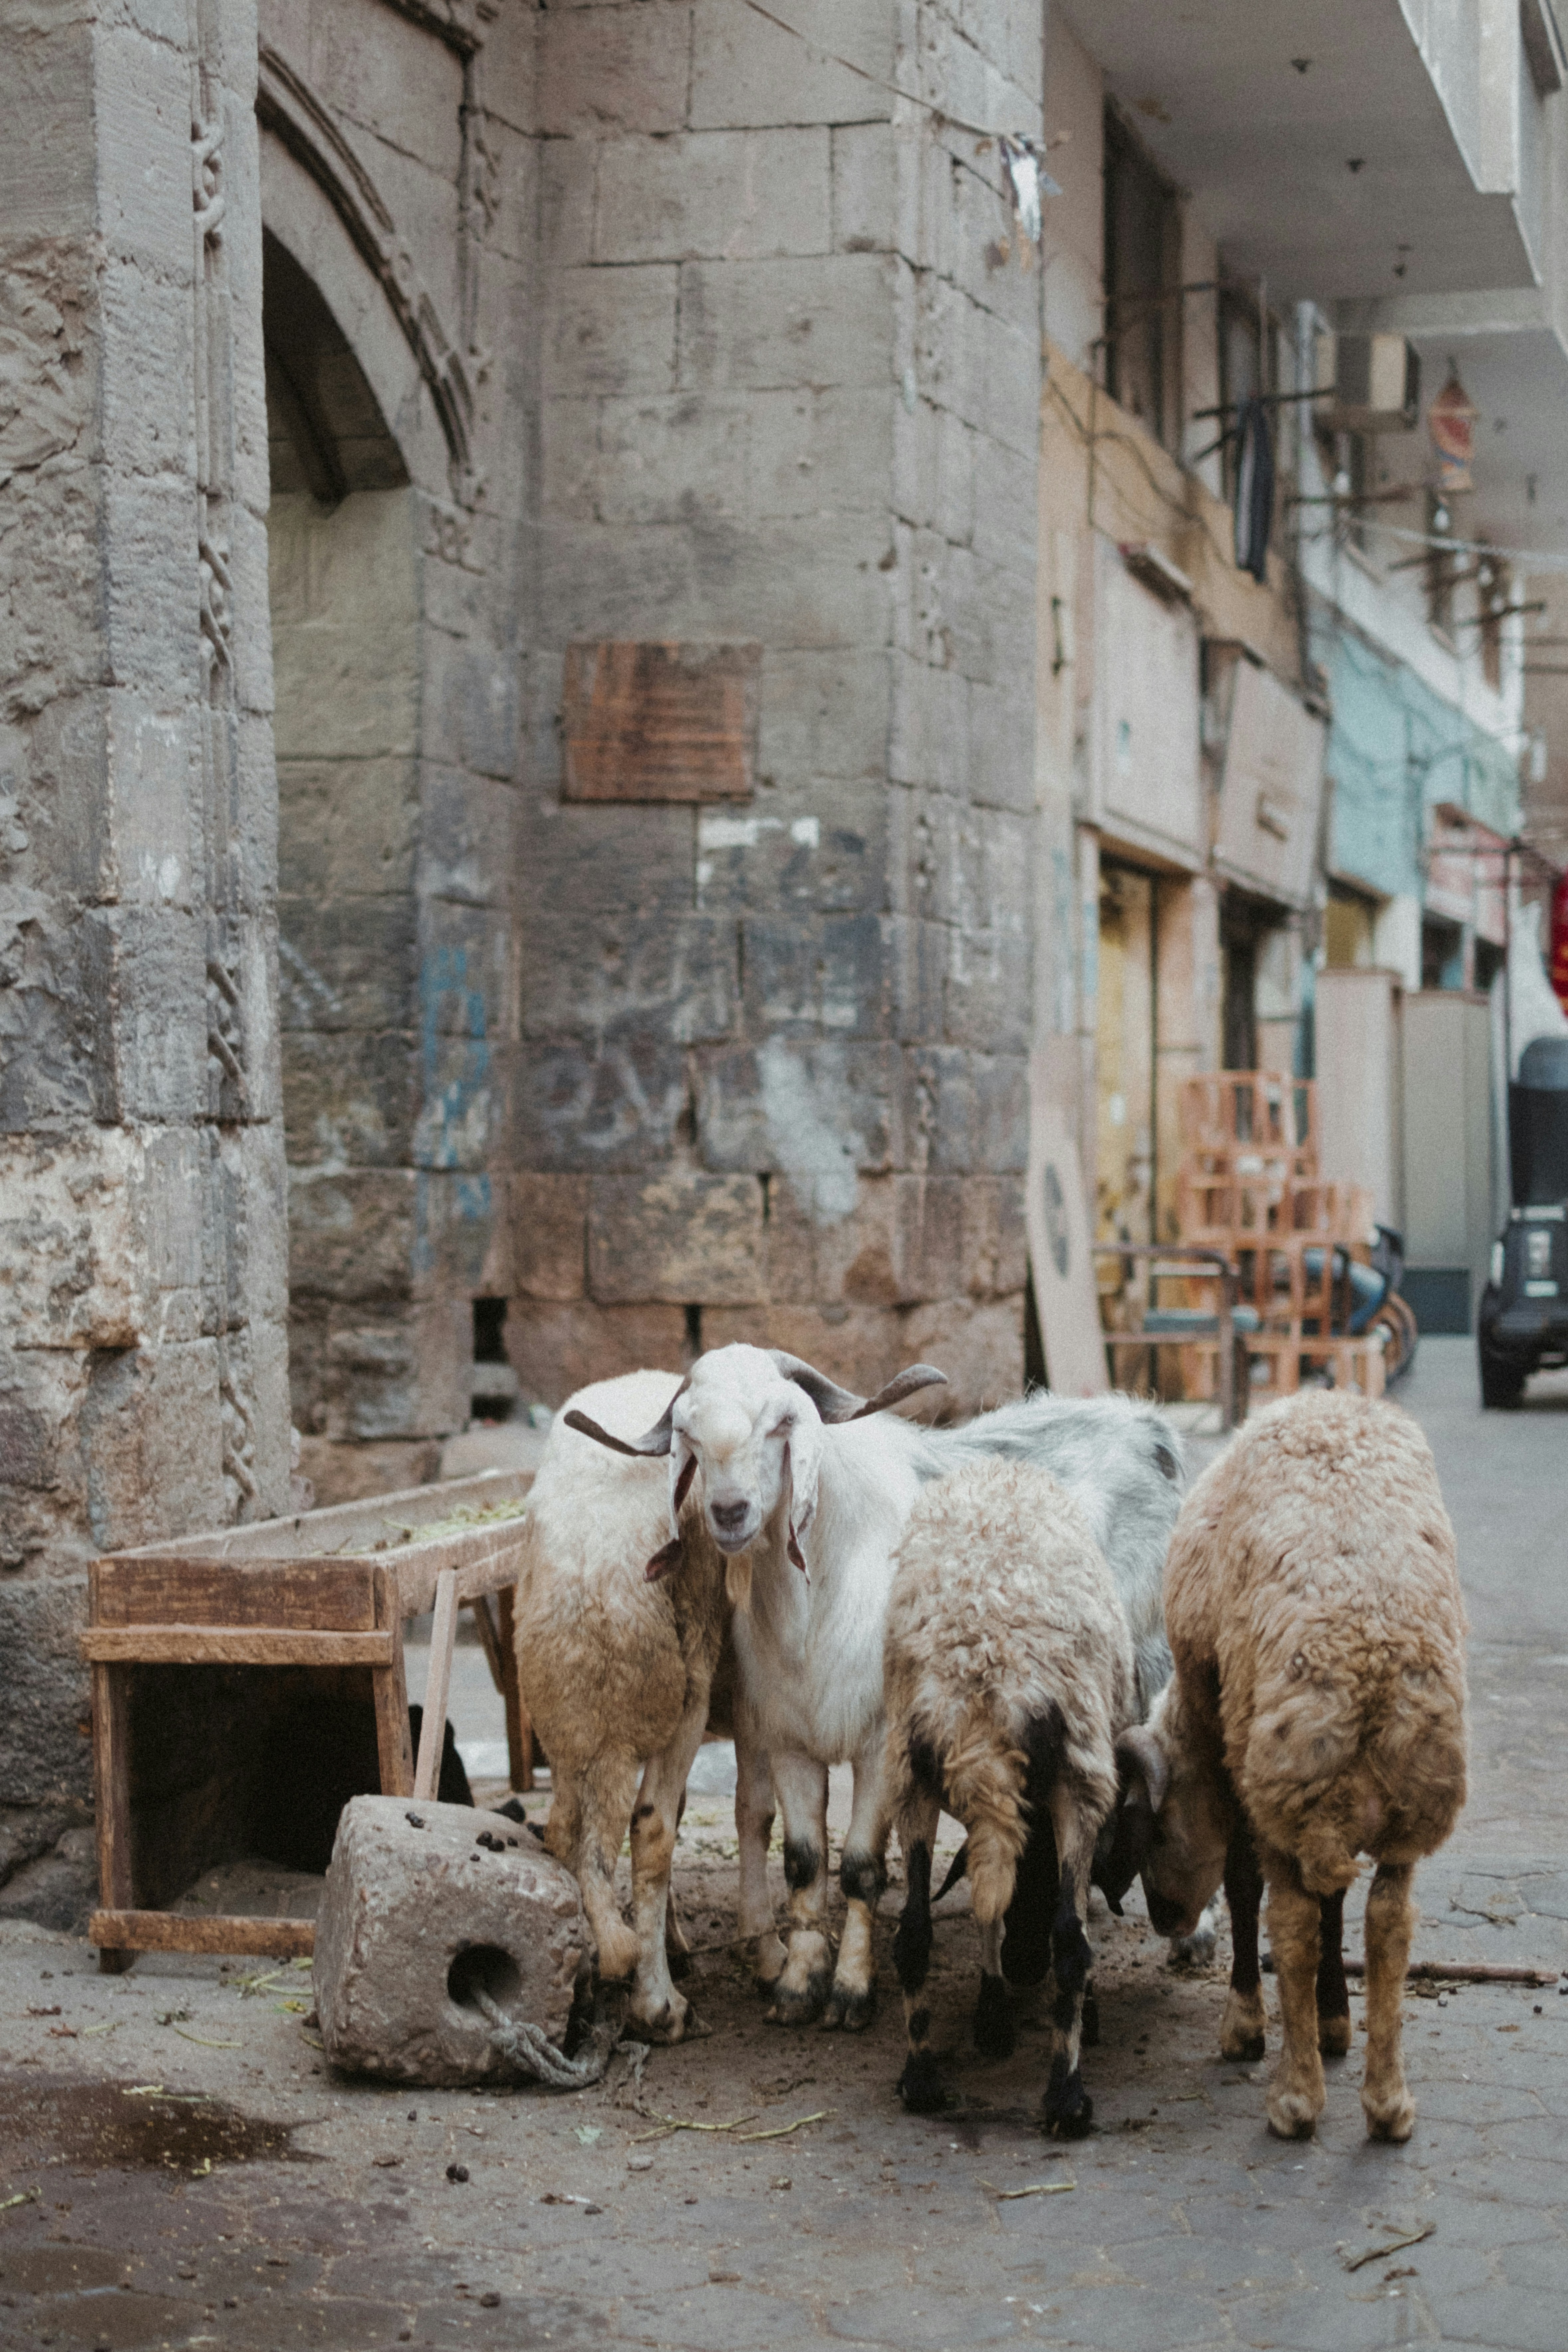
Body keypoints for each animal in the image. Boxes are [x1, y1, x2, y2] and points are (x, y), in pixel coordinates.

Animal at [567, 1344, 1184, 2032]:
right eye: (689, 1434)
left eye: (782, 1422)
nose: (728, 1512)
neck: (818, 1604)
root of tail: (1147, 1426)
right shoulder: (789, 1738)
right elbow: (804, 1860)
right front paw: (798, 1985)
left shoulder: (882, 1742)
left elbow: (861, 1868)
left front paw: (850, 1992)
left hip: (1145, 1671)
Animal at [879, 1459, 1138, 2134]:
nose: (1023, 1967)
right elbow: (1066, 1916)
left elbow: (985, 1904)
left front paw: (992, 2012)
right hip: (1080, 1773)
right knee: (1071, 1942)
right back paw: (1067, 2097)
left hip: (908, 1776)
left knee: (912, 1935)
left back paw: (921, 2079)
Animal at [1114, 1388, 1468, 2143]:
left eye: (1151, 1830)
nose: (1164, 1919)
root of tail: (1368, 1669)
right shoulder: (1329, 1811)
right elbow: (1337, 1900)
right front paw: (1335, 2020)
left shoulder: (1233, 1752)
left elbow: (1246, 1885)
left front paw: (1248, 2023)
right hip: (1403, 1797)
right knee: (1389, 1920)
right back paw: (1387, 2103)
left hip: (1281, 1779)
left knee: (1292, 1919)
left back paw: (1296, 2099)